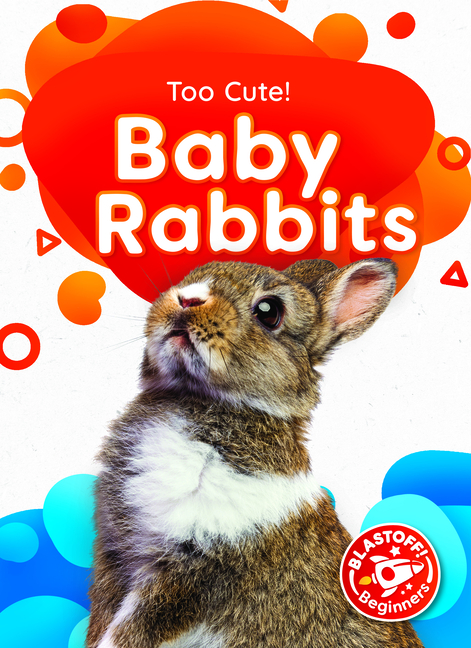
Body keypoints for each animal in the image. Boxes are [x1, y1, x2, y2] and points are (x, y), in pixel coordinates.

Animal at [87, 258, 424, 648]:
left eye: (269, 312)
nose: (188, 299)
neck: (198, 400)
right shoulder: (114, 558)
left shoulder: (191, 573)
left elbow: (127, 631)